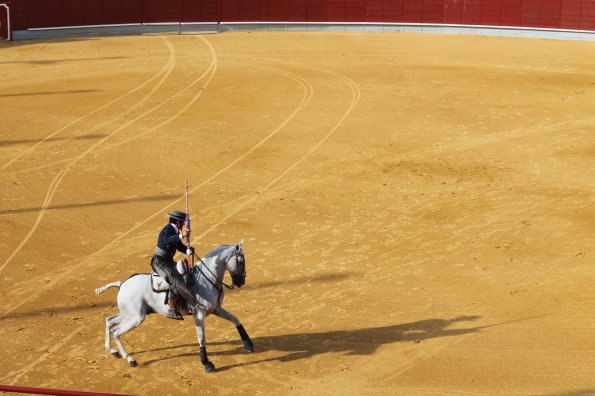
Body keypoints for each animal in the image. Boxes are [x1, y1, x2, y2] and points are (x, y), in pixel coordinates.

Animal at [95, 240, 251, 372]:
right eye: (241, 261)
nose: (241, 282)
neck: (206, 278)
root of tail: (122, 284)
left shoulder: (216, 309)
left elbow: (235, 319)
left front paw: (248, 343)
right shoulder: (199, 314)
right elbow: (201, 338)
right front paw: (207, 363)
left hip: (131, 315)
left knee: (109, 321)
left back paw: (113, 351)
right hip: (136, 318)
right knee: (116, 331)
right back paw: (130, 359)